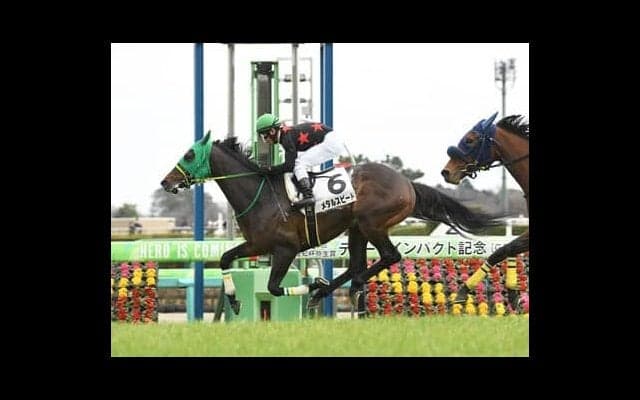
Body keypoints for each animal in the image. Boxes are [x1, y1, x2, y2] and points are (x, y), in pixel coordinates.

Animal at [160, 131, 502, 314]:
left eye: (189, 154)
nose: (166, 181)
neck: (261, 194)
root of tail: (407, 183)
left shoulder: (285, 249)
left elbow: (273, 287)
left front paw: (312, 285)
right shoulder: (257, 244)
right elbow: (225, 257)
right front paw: (233, 301)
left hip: (371, 223)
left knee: (387, 257)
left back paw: (339, 288)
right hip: (356, 229)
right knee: (356, 265)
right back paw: (333, 289)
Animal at [441, 113, 529, 306]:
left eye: (469, 140)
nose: (446, 172)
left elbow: (503, 250)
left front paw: (463, 289)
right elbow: (508, 248)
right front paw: (513, 292)